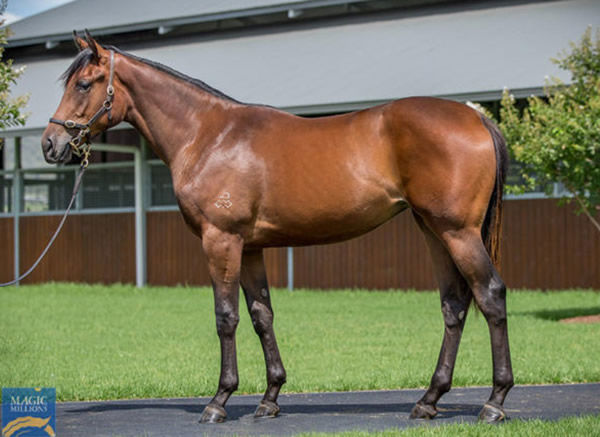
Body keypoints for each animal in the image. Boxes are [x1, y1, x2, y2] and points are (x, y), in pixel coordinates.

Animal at [41, 33, 510, 422]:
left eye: (84, 84)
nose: (51, 144)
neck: (208, 136)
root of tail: (475, 118)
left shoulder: (221, 241)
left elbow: (226, 317)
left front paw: (219, 401)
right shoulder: (249, 247)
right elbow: (261, 315)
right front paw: (269, 398)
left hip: (457, 232)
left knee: (490, 295)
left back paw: (494, 402)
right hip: (433, 230)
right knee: (454, 305)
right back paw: (428, 400)